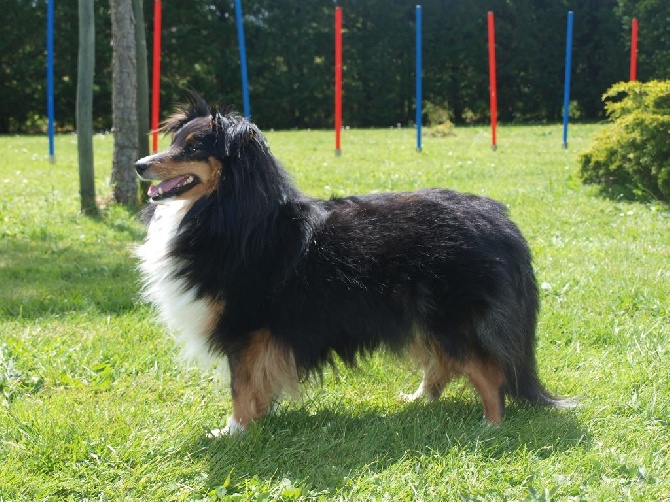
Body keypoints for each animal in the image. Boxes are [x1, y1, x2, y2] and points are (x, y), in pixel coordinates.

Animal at [134, 93, 576, 436]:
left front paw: (234, 431)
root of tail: (500, 220)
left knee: (487, 370)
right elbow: (255, 386)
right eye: (176, 141)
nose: (140, 165)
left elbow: (241, 386)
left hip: (451, 316)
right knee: (444, 365)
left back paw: (491, 424)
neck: (232, 213)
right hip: (423, 316)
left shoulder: (246, 327)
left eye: (194, 147)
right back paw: (418, 400)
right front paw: (256, 422)